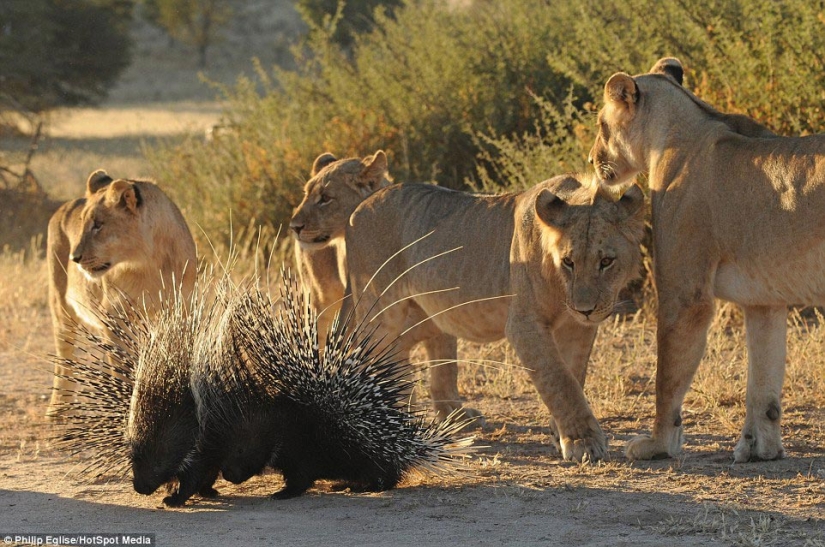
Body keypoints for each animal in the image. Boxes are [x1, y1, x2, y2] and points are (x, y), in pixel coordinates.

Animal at [46, 169, 197, 417]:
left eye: (98, 225)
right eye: (83, 224)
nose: (74, 258)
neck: (148, 264)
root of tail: (65, 205)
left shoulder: (180, 310)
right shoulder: (114, 316)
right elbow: (120, 368)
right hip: (61, 306)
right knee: (64, 356)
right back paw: (59, 410)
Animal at [341, 174, 645, 461]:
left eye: (606, 262)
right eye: (568, 262)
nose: (586, 309)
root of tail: (358, 208)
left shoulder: (576, 327)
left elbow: (574, 375)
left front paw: (559, 431)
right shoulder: (524, 325)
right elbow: (558, 380)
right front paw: (583, 442)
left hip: (427, 315)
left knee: (404, 352)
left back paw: (444, 415)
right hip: (382, 310)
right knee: (373, 351)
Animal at [588, 57, 825, 463]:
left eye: (602, 125)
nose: (591, 159)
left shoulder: (685, 295)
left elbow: (667, 377)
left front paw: (657, 445)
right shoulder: (763, 300)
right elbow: (763, 381)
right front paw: (759, 448)